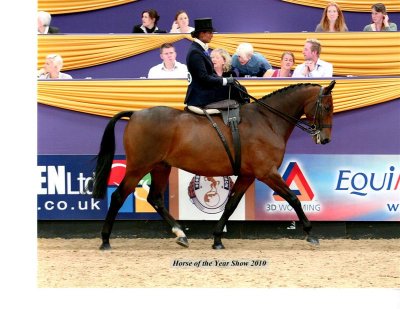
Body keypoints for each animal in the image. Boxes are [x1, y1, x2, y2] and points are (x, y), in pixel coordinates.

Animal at [92, 80, 336, 249]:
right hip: (138, 167)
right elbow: (294, 199)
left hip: (161, 166)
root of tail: (136, 113)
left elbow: (231, 205)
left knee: (155, 198)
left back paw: (181, 234)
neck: (267, 120)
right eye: (326, 107)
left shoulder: (248, 175)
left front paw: (217, 238)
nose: (325, 139)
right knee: (118, 196)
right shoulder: (267, 172)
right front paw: (310, 234)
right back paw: (105, 240)